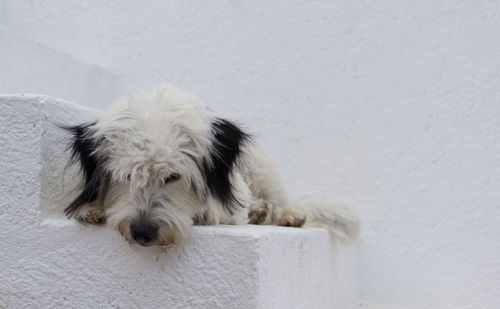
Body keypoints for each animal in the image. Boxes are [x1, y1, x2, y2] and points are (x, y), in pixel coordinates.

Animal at [62, 83, 360, 247]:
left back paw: (285, 213)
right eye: (126, 176)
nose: (142, 233)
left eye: (173, 176)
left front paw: (206, 211)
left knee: (280, 199)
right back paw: (259, 211)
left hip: (260, 166)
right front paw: (92, 208)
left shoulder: (236, 197)